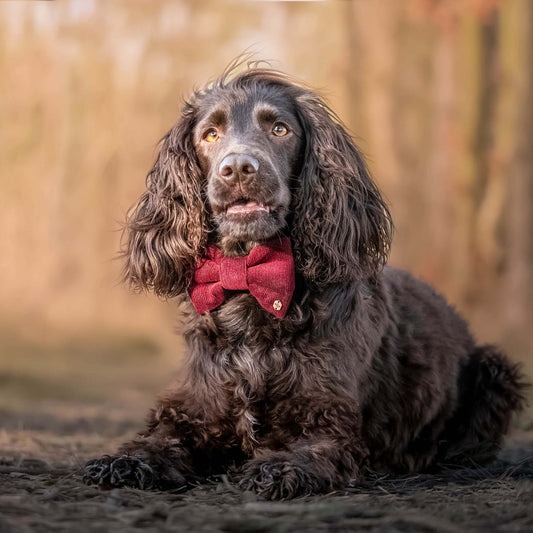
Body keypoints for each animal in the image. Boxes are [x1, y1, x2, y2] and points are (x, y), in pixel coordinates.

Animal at [83, 62, 524, 498]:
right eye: (210, 134)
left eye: (280, 129)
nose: (238, 168)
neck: (248, 286)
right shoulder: (194, 408)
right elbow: (160, 439)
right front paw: (125, 462)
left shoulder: (327, 421)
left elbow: (304, 452)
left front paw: (276, 469)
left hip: (495, 369)